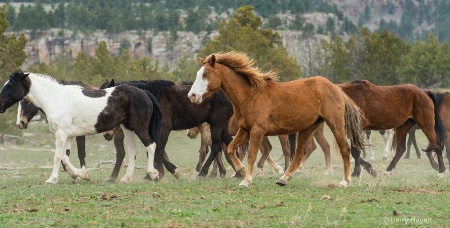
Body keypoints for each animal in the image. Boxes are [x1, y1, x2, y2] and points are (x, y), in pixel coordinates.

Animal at [0, 71, 162, 183]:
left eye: (10, 85)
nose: (20, 123)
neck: (56, 99)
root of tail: (144, 92)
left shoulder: (61, 135)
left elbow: (58, 156)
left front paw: (52, 179)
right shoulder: (68, 136)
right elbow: (65, 157)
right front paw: (81, 175)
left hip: (139, 128)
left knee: (150, 146)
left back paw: (153, 174)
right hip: (127, 129)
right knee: (133, 151)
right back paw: (126, 179)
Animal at [100, 79, 234, 179]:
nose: (106, 134)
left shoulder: (163, 129)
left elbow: (158, 149)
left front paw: (164, 173)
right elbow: (155, 150)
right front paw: (156, 174)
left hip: (216, 125)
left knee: (216, 146)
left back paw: (203, 173)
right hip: (221, 126)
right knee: (229, 142)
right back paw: (238, 172)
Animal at [187, 51, 366, 187]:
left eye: (205, 74)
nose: (192, 95)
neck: (249, 96)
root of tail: (335, 88)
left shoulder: (257, 131)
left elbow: (252, 154)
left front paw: (246, 180)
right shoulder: (244, 130)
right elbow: (231, 149)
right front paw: (242, 171)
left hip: (335, 124)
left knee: (344, 149)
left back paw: (344, 181)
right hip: (308, 128)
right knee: (299, 152)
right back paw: (284, 178)